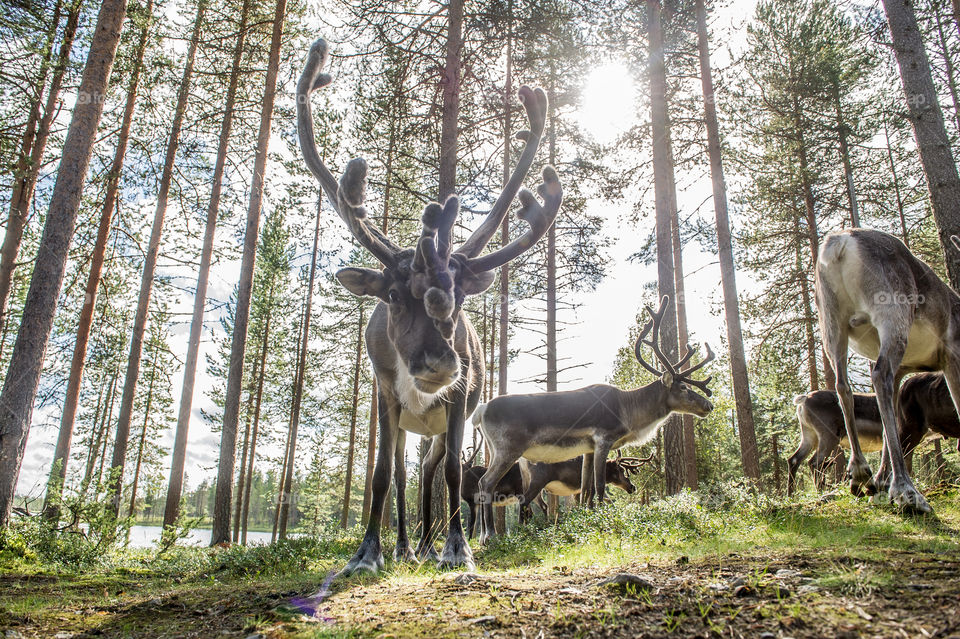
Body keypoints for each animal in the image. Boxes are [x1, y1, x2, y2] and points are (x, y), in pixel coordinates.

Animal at [297, 38, 561, 575]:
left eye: (458, 299)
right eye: (393, 296)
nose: (438, 362)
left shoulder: (458, 403)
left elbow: (455, 477)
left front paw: (457, 548)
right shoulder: (385, 396)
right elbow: (379, 474)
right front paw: (366, 554)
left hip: (435, 428)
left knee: (428, 472)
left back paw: (423, 544)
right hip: (405, 423)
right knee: (403, 473)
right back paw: (402, 545)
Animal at [472, 296, 714, 543]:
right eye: (683, 387)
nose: (709, 405)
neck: (628, 411)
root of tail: (481, 409)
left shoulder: (587, 448)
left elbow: (585, 487)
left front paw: (586, 519)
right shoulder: (603, 440)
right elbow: (599, 486)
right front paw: (601, 522)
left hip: (501, 453)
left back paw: (485, 536)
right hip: (507, 449)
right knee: (487, 483)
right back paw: (489, 535)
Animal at [815, 227, 960, 513]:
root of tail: (840, 243)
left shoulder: (905, 368)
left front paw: (881, 482)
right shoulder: (952, 354)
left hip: (831, 321)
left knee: (843, 385)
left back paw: (862, 474)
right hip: (892, 313)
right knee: (880, 374)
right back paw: (907, 492)